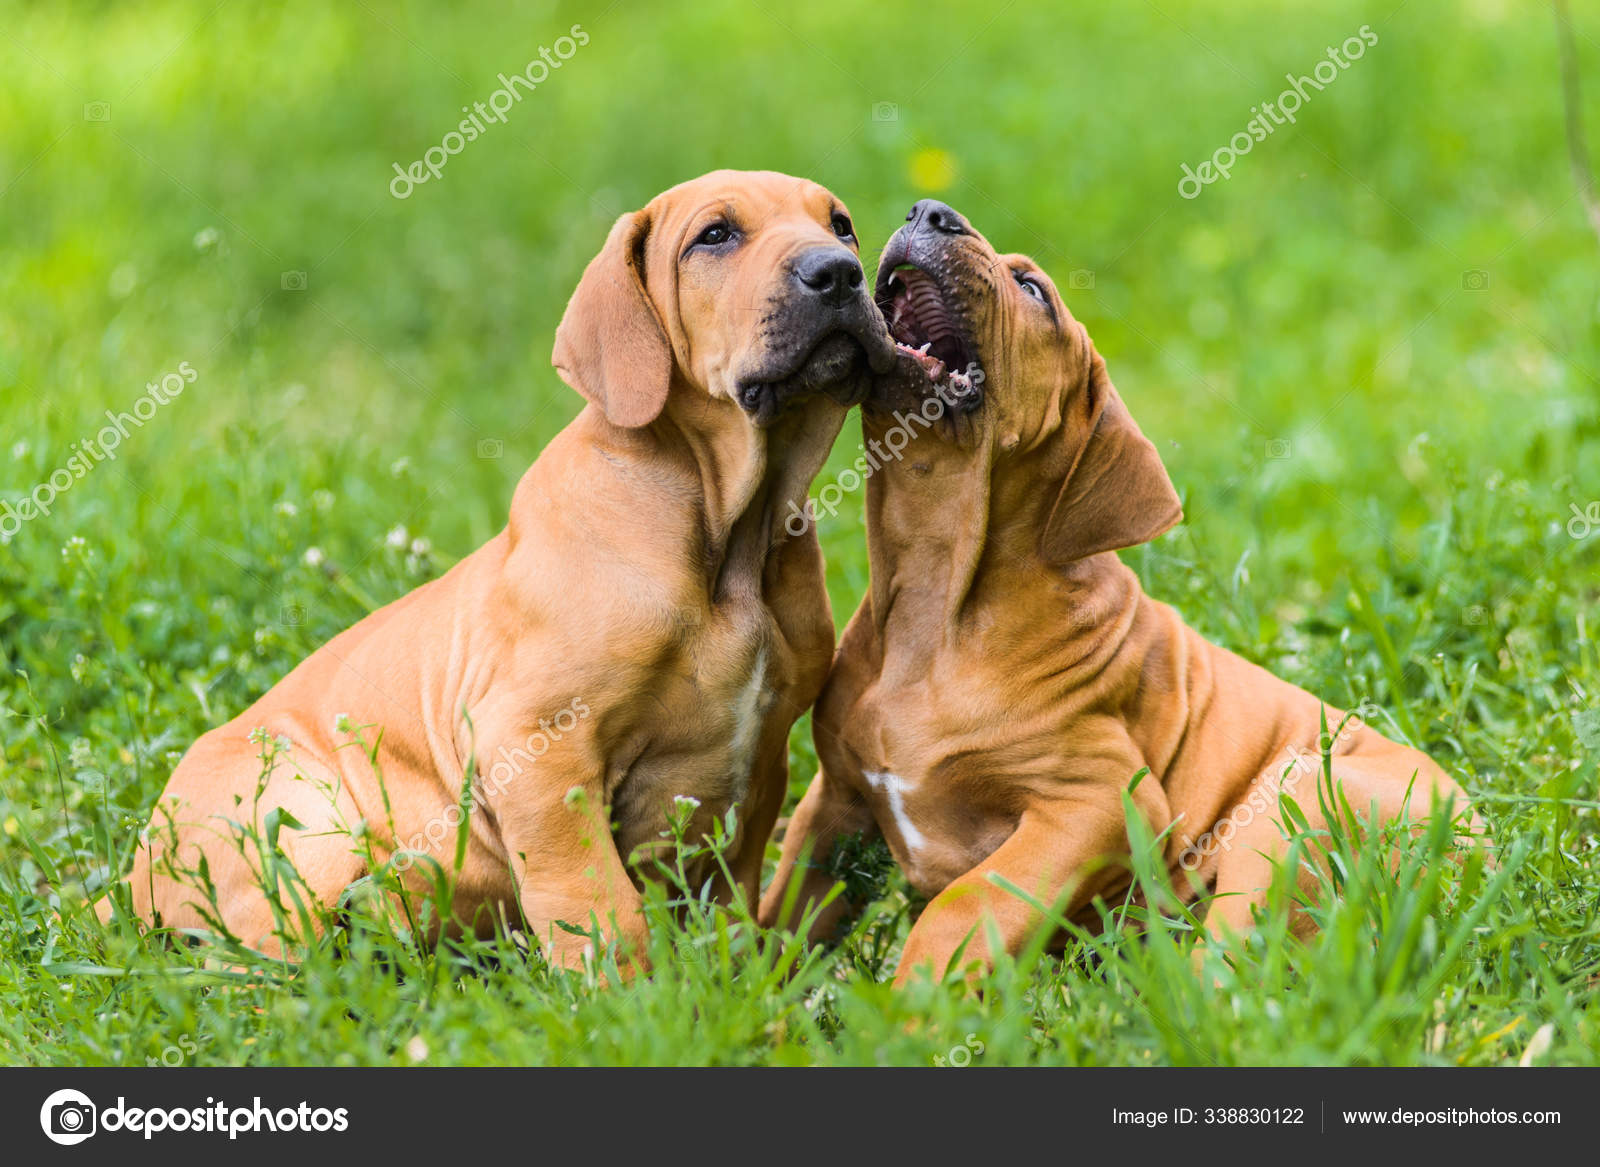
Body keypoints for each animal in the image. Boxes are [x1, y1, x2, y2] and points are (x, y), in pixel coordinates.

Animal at [103, 168, 902, 966]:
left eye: (841, 225)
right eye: (715, 236)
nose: (839, 273)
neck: (729, 537)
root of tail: (127, 883)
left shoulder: (763, 760)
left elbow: (731, 896)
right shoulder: (534, 743)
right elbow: (597, 902)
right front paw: (625, 987)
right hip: (301, 813)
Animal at [755, 200, 1478, 986]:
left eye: (1033, 290)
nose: (930, 210)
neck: (935, 597)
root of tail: (1478, 850)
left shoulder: (1100, 802)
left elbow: (965, 902)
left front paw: (909, 1005)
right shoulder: (836, 797)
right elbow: (782, 908)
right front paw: (733, 988)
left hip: (1290, 800)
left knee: (1224, 971)